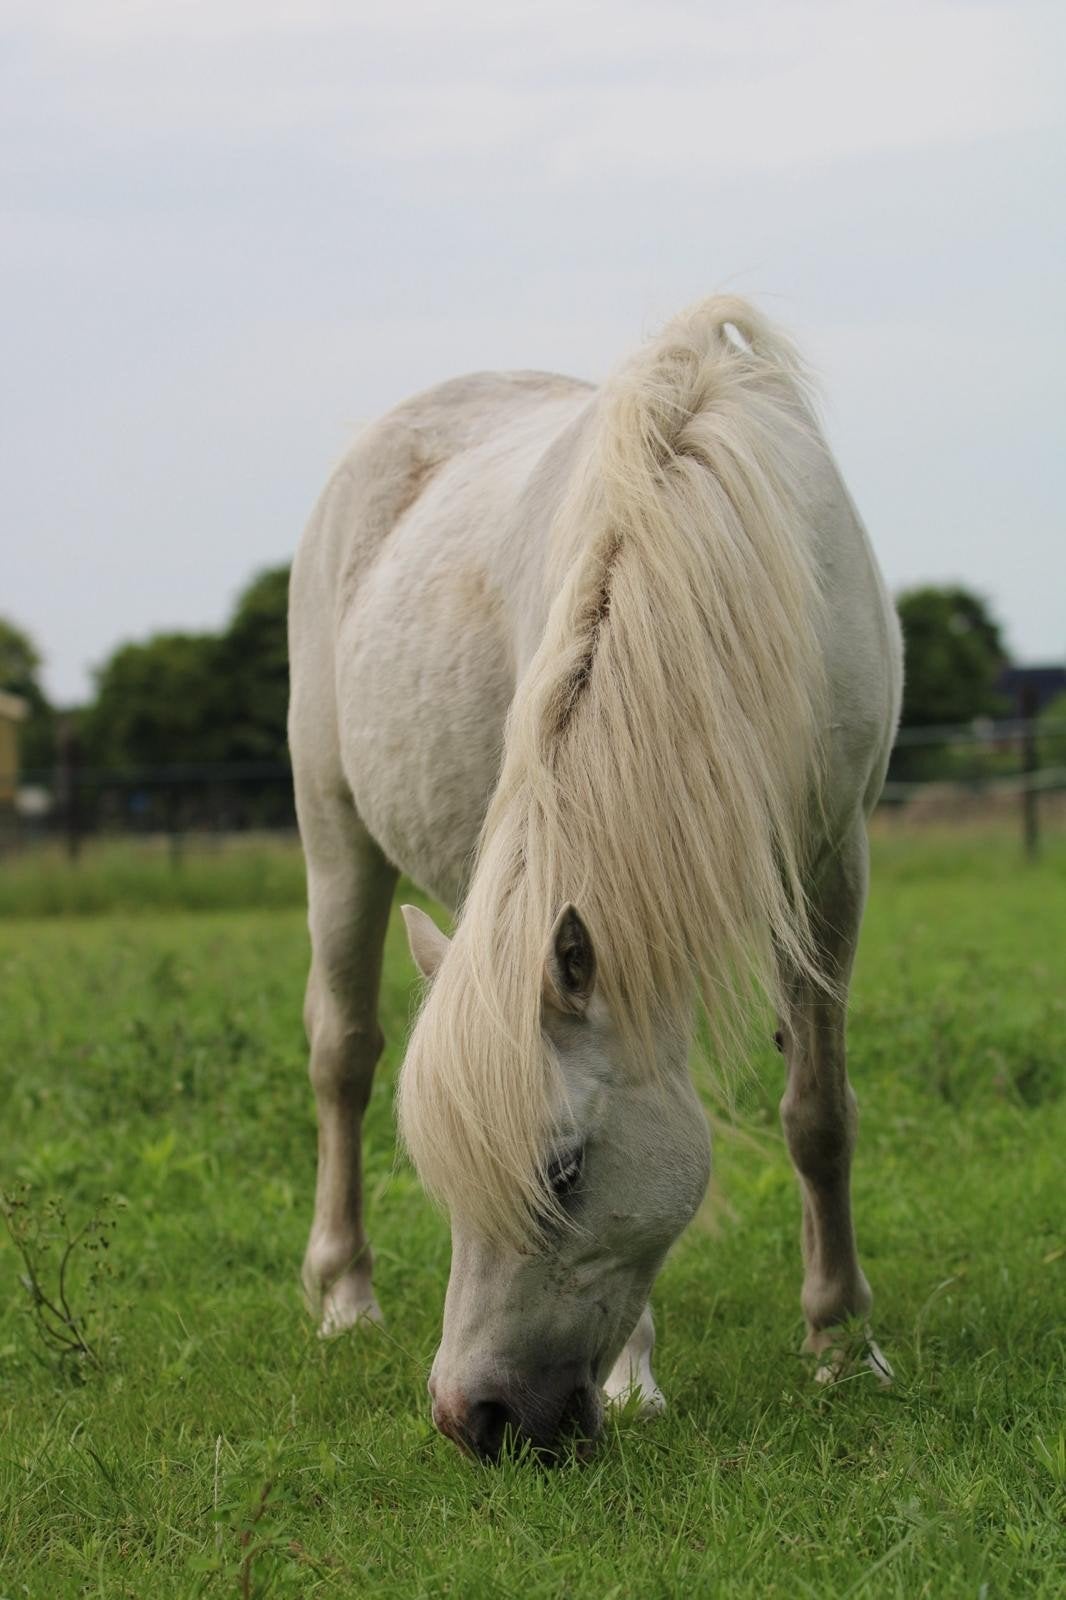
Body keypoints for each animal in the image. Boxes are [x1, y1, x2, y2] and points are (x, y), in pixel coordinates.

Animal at [287, 295, 903, 1463]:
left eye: (563, 1172)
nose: (471, 1419)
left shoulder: (831, 864)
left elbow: (819, 1113)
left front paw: (841, 1341)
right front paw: (634, 1379)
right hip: (334, 832)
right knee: (342, 1054)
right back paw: (343, 1296)